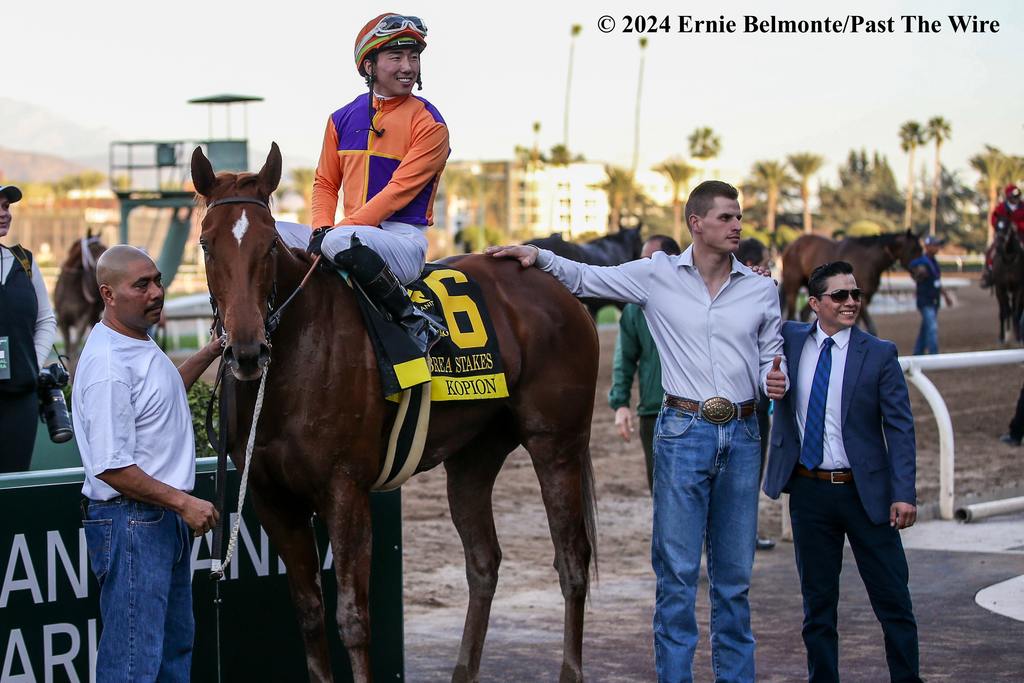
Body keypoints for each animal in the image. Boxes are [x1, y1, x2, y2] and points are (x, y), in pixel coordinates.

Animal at [53, 229, 106, 358]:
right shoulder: (63, 321)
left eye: (104, 247)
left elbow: (74, 350)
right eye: (94, 248)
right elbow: (68, 349)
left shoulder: (82, 320)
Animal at [192, 145, 598, 683]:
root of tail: (557, 284)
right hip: (474, 456)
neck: (295, 360)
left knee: (572, 559)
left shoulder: (345, 490)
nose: (245, 351)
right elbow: (308, 614)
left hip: (556, 443)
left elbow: (353, 619)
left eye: (269, 246)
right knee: (483, 562)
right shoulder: (271, 497)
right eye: (206, 244)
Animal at [778, 231, 925, 335]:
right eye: (913, 250)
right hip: (793, 286)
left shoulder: (861, 299)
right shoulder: (863, 300)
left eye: (921, 249)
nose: (922, 273)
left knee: (804, 313)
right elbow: (871, 328)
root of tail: (790, 246)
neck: (868, 259)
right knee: (792, 313)